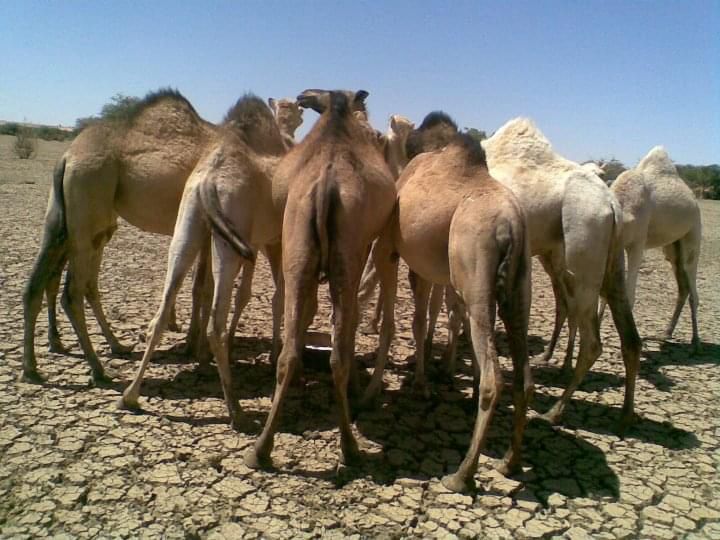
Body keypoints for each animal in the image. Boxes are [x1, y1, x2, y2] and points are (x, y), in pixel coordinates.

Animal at [118, 95, 287, 428]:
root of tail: (208, 180)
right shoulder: (272, 242)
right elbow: (276, 297)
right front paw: (275, 357)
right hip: (228, 241)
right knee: (215, 324)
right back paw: (237, 411)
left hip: (187, 226)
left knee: (161, 312)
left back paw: (130, 396)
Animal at [243, 89, 397, 470]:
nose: (303, 95)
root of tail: (327, 186)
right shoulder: (362, 249)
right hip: (346, 253)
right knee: (338, 346)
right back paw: (350, 447)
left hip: (298, 245)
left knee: (292, 352)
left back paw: (261, 449)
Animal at [365, 112, 532, 493]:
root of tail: (510, 226)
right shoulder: (425, 265)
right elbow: (421, 319)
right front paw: (422, 382)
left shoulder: (389, 248)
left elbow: (397, 322)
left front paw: (373, 388)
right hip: (519, 287)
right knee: (524, 376)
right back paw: (510, 462)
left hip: (477, 280)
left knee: (493, 378)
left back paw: (461, 475)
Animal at [478, 118, 641, 429]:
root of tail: (610, 202)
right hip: (611, 260)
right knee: (629, 336)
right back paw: (625, 415)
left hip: (583, 246)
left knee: (591, 339)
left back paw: (554, 412)